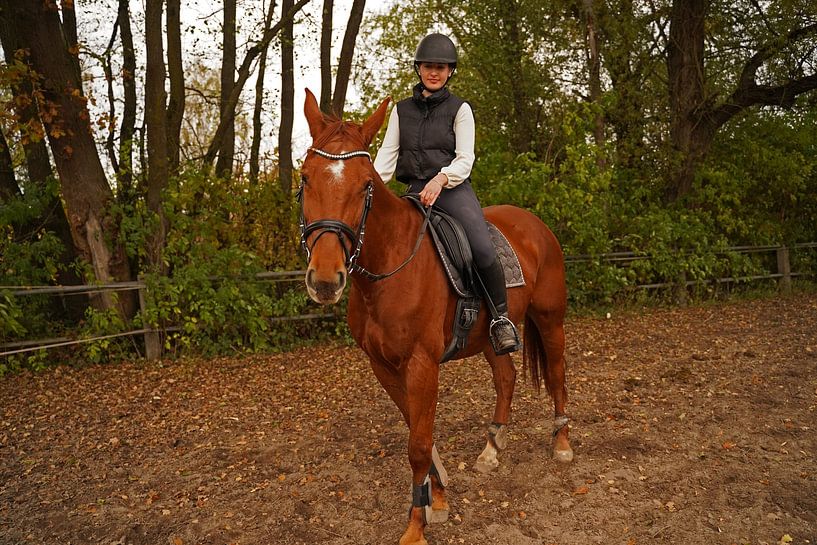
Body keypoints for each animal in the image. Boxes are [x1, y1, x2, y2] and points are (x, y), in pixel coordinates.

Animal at [299, 89, 572, 545]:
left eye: (366, 185)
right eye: (305, 178)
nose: (324, 279)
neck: (391, 267)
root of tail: (534, 223)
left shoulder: (422, 364)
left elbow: (418, 443)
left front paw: (416, 526)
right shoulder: (384, 366)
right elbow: (418, 432)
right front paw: (438, 499)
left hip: (551, 320)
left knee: (556, 374)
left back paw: (563, 443)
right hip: (491, 335)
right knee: (506, 377)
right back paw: (492, 449)